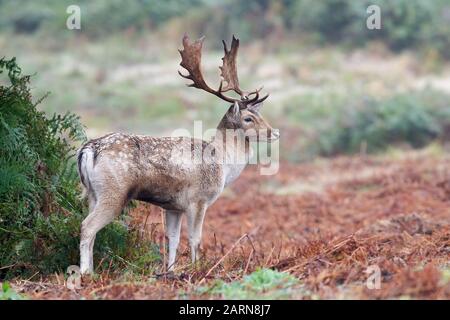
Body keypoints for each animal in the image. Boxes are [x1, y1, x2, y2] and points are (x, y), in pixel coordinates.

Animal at [78, 35, 278, 276]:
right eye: (248, 118)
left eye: (260, 114)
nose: (275, 132)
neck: (223, 163)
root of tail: (89, 150)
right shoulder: (198, 199)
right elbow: (195, 239)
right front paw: (196, 269)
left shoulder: (173, 206)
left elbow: (172, 239)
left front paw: (171, 271)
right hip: (113, 192)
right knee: (87, 226)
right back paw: (85, 273)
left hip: (92, 192)